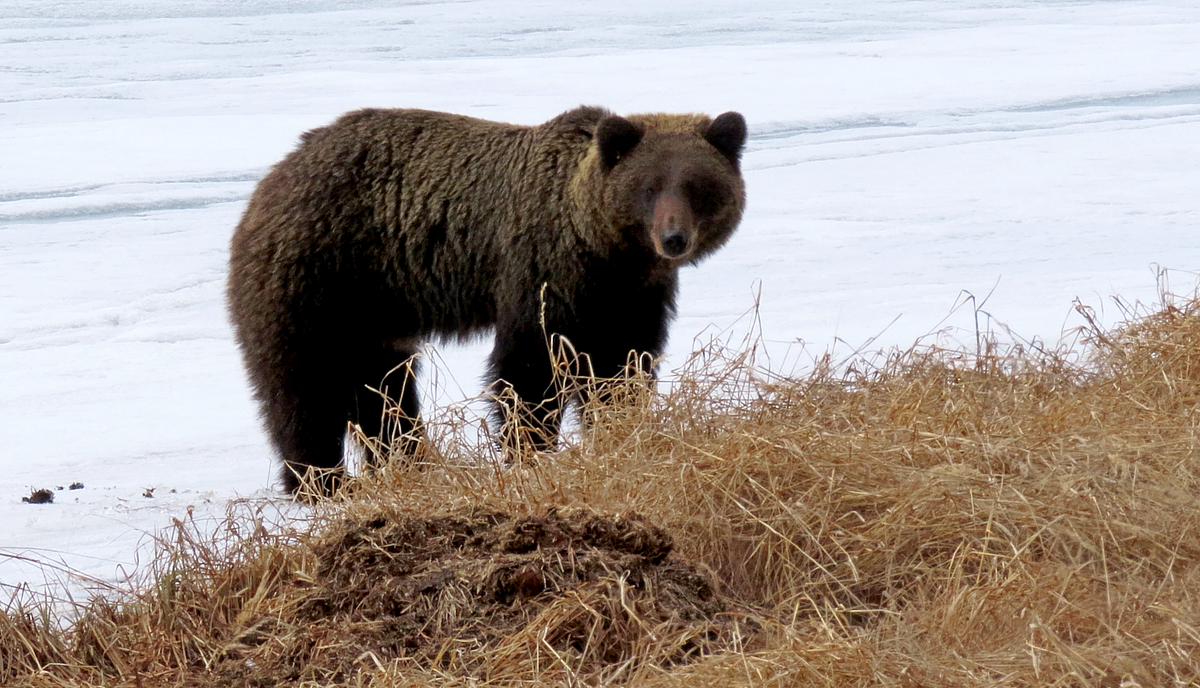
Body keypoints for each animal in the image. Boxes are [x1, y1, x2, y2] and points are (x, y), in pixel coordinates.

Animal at [226, 104, 739, 494]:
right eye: (648, 187)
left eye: (697, 186)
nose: (673, 239)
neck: (602, 251)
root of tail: (270, 181)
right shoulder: (543, 273)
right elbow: (529, 367)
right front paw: (530, 448)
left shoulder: (632, 298)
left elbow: (622, 369)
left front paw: (618, 432)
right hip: (319, 278)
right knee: (302, 387)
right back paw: (322, 482)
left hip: (375, 312)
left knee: (383, 388)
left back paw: (408, 461)